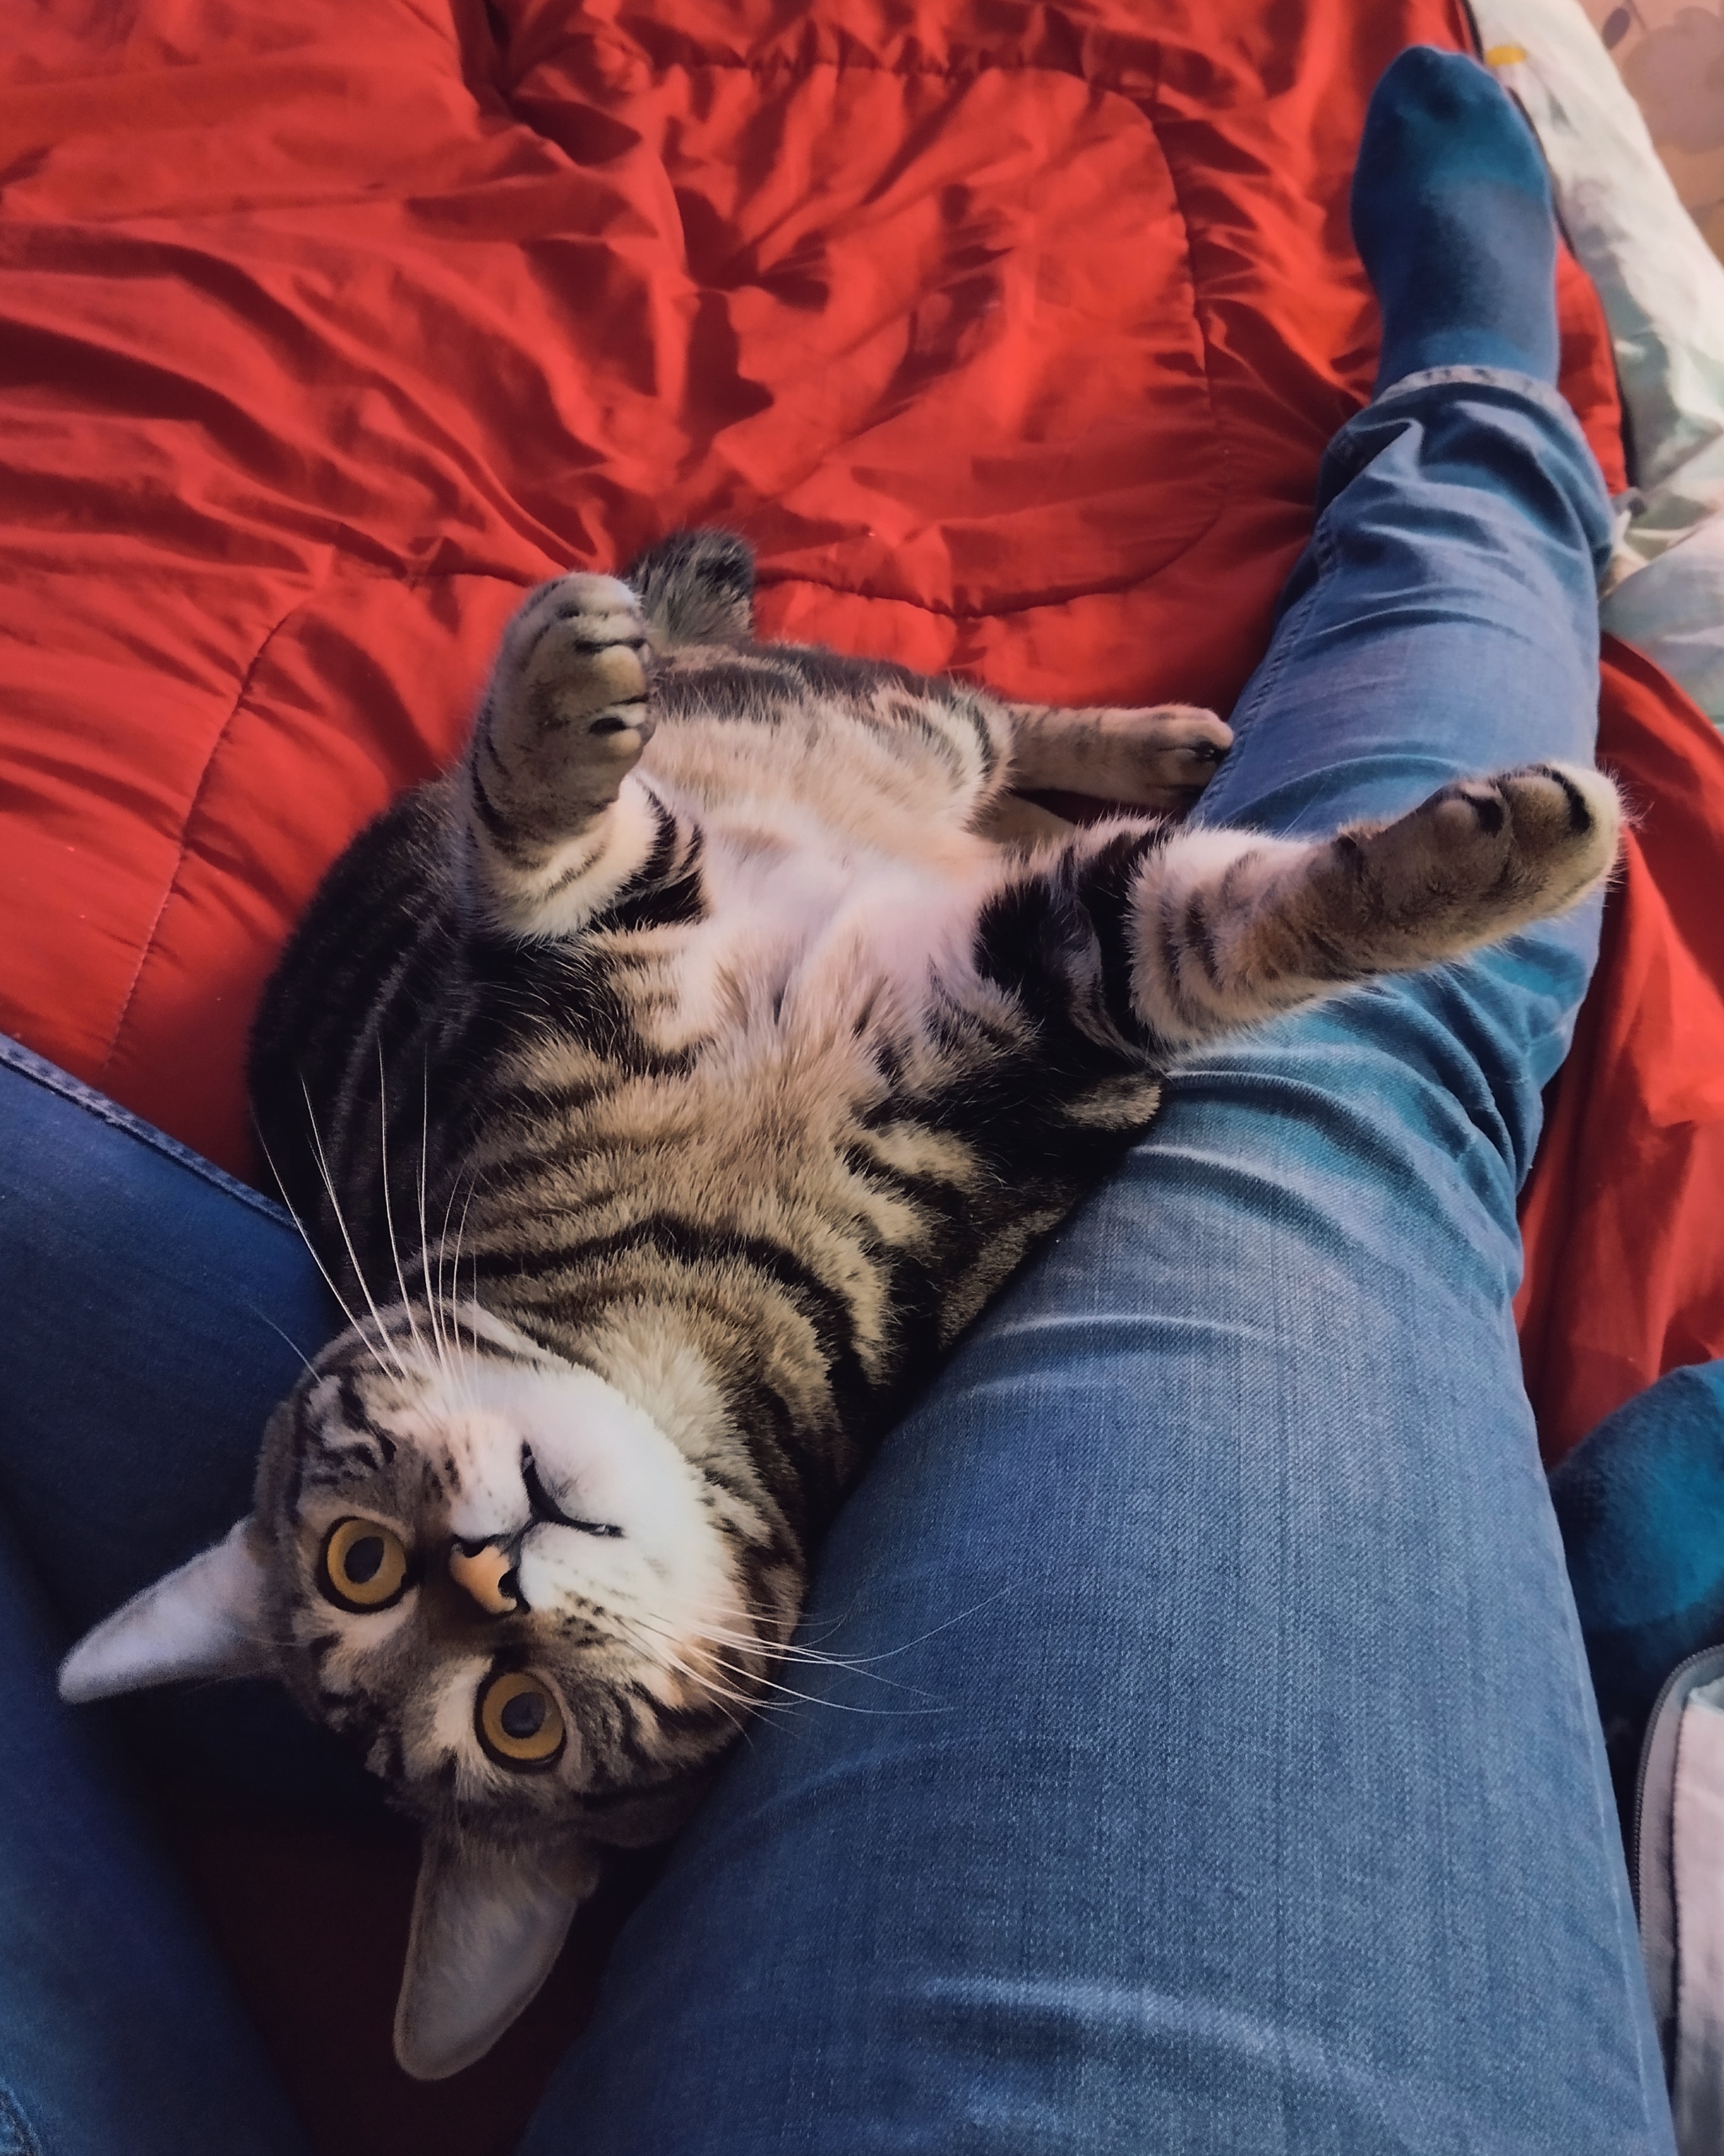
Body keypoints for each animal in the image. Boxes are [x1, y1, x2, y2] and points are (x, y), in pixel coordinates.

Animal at [57, 529, 1619, 2079]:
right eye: (520, 1722)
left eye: (359, 1563)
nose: (493, 1568)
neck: (684, 1315)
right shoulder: (1046, 1030)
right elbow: (1189, 936)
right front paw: (1520, 856)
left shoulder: (589, 956)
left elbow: (547, 844)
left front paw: (1513, 851)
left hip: (879, 715)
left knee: (979, 717)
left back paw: (1138, 742)